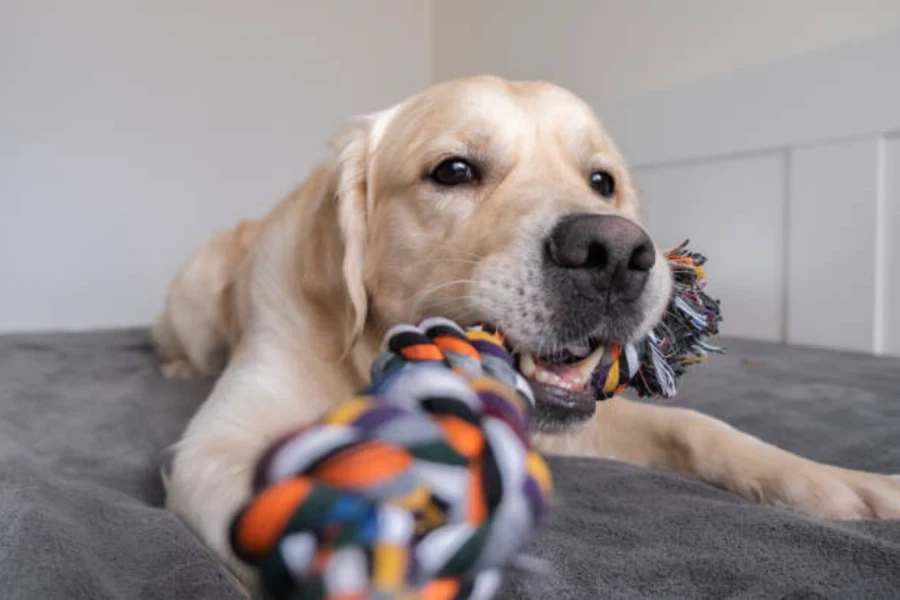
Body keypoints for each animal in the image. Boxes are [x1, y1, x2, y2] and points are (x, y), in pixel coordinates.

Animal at [158, 74, 896, 580]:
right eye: (453, 170)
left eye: (602, 181)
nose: (616, 253)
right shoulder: (216, 446)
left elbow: (698, 428)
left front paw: (836, 481)